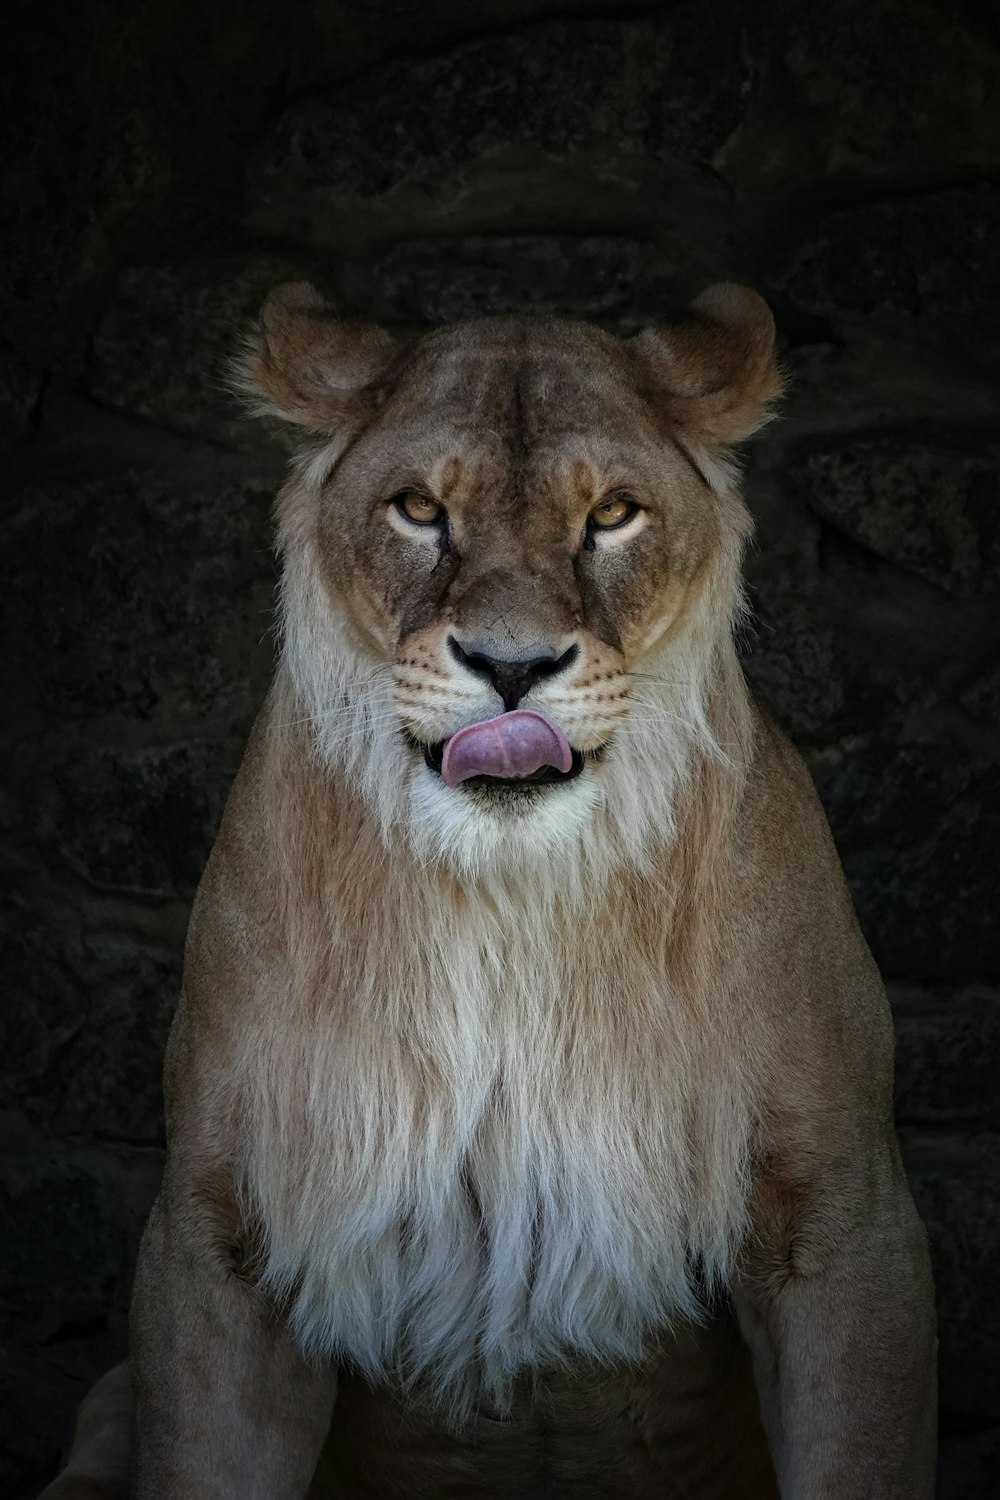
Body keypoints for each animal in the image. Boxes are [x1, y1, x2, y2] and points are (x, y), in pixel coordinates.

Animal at [43, 283, 941, 1500]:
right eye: (420, 509)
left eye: (613, 514)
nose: (512, 670)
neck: (510, 899)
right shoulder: (224, 1231)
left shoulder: (841, 1221)